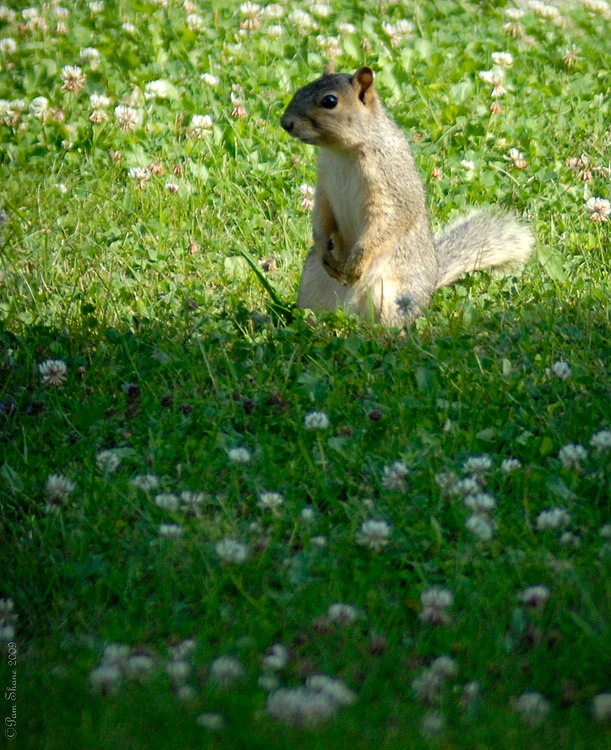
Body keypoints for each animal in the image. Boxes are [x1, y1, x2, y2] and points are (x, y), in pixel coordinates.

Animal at [282, 68, 536, 328]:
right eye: (302, 88)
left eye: (330, 101)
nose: (285, 123)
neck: (342, 151)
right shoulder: (324, 184)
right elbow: (322, 215)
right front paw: (323, 247)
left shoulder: (390, 183)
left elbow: (389, 220)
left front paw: (357, 262)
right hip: (311, 280)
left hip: (393, 296)